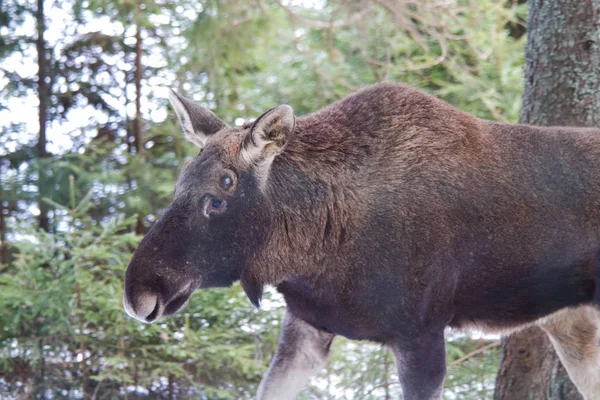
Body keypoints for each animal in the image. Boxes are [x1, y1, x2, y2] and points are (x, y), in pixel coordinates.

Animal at [123, 83, 600, 398]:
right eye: (179, 180)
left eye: (221, 191)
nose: (137, 293)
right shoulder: (307, 325)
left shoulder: (420, 333)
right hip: (571, 323)